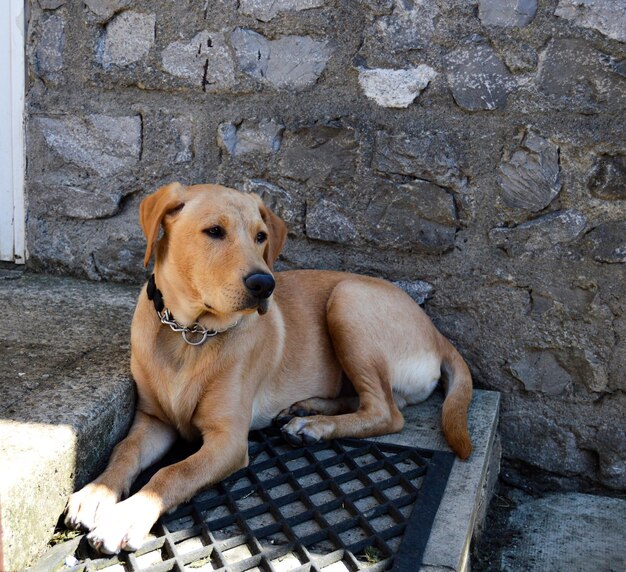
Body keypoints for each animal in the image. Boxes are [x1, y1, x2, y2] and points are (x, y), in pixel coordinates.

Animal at [64, 182, 472, 556]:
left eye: (261, 236)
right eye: (214, 231)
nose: (265, 284)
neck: (189, 334)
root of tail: (437, 334)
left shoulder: (228, 441)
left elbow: (173, 473)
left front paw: (125, 518)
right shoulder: (153, 420)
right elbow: (125, 450)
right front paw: (96, 492)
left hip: (348, 300)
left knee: (386, 411)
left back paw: (314, 426)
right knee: (371, 400)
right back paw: (306, 409)